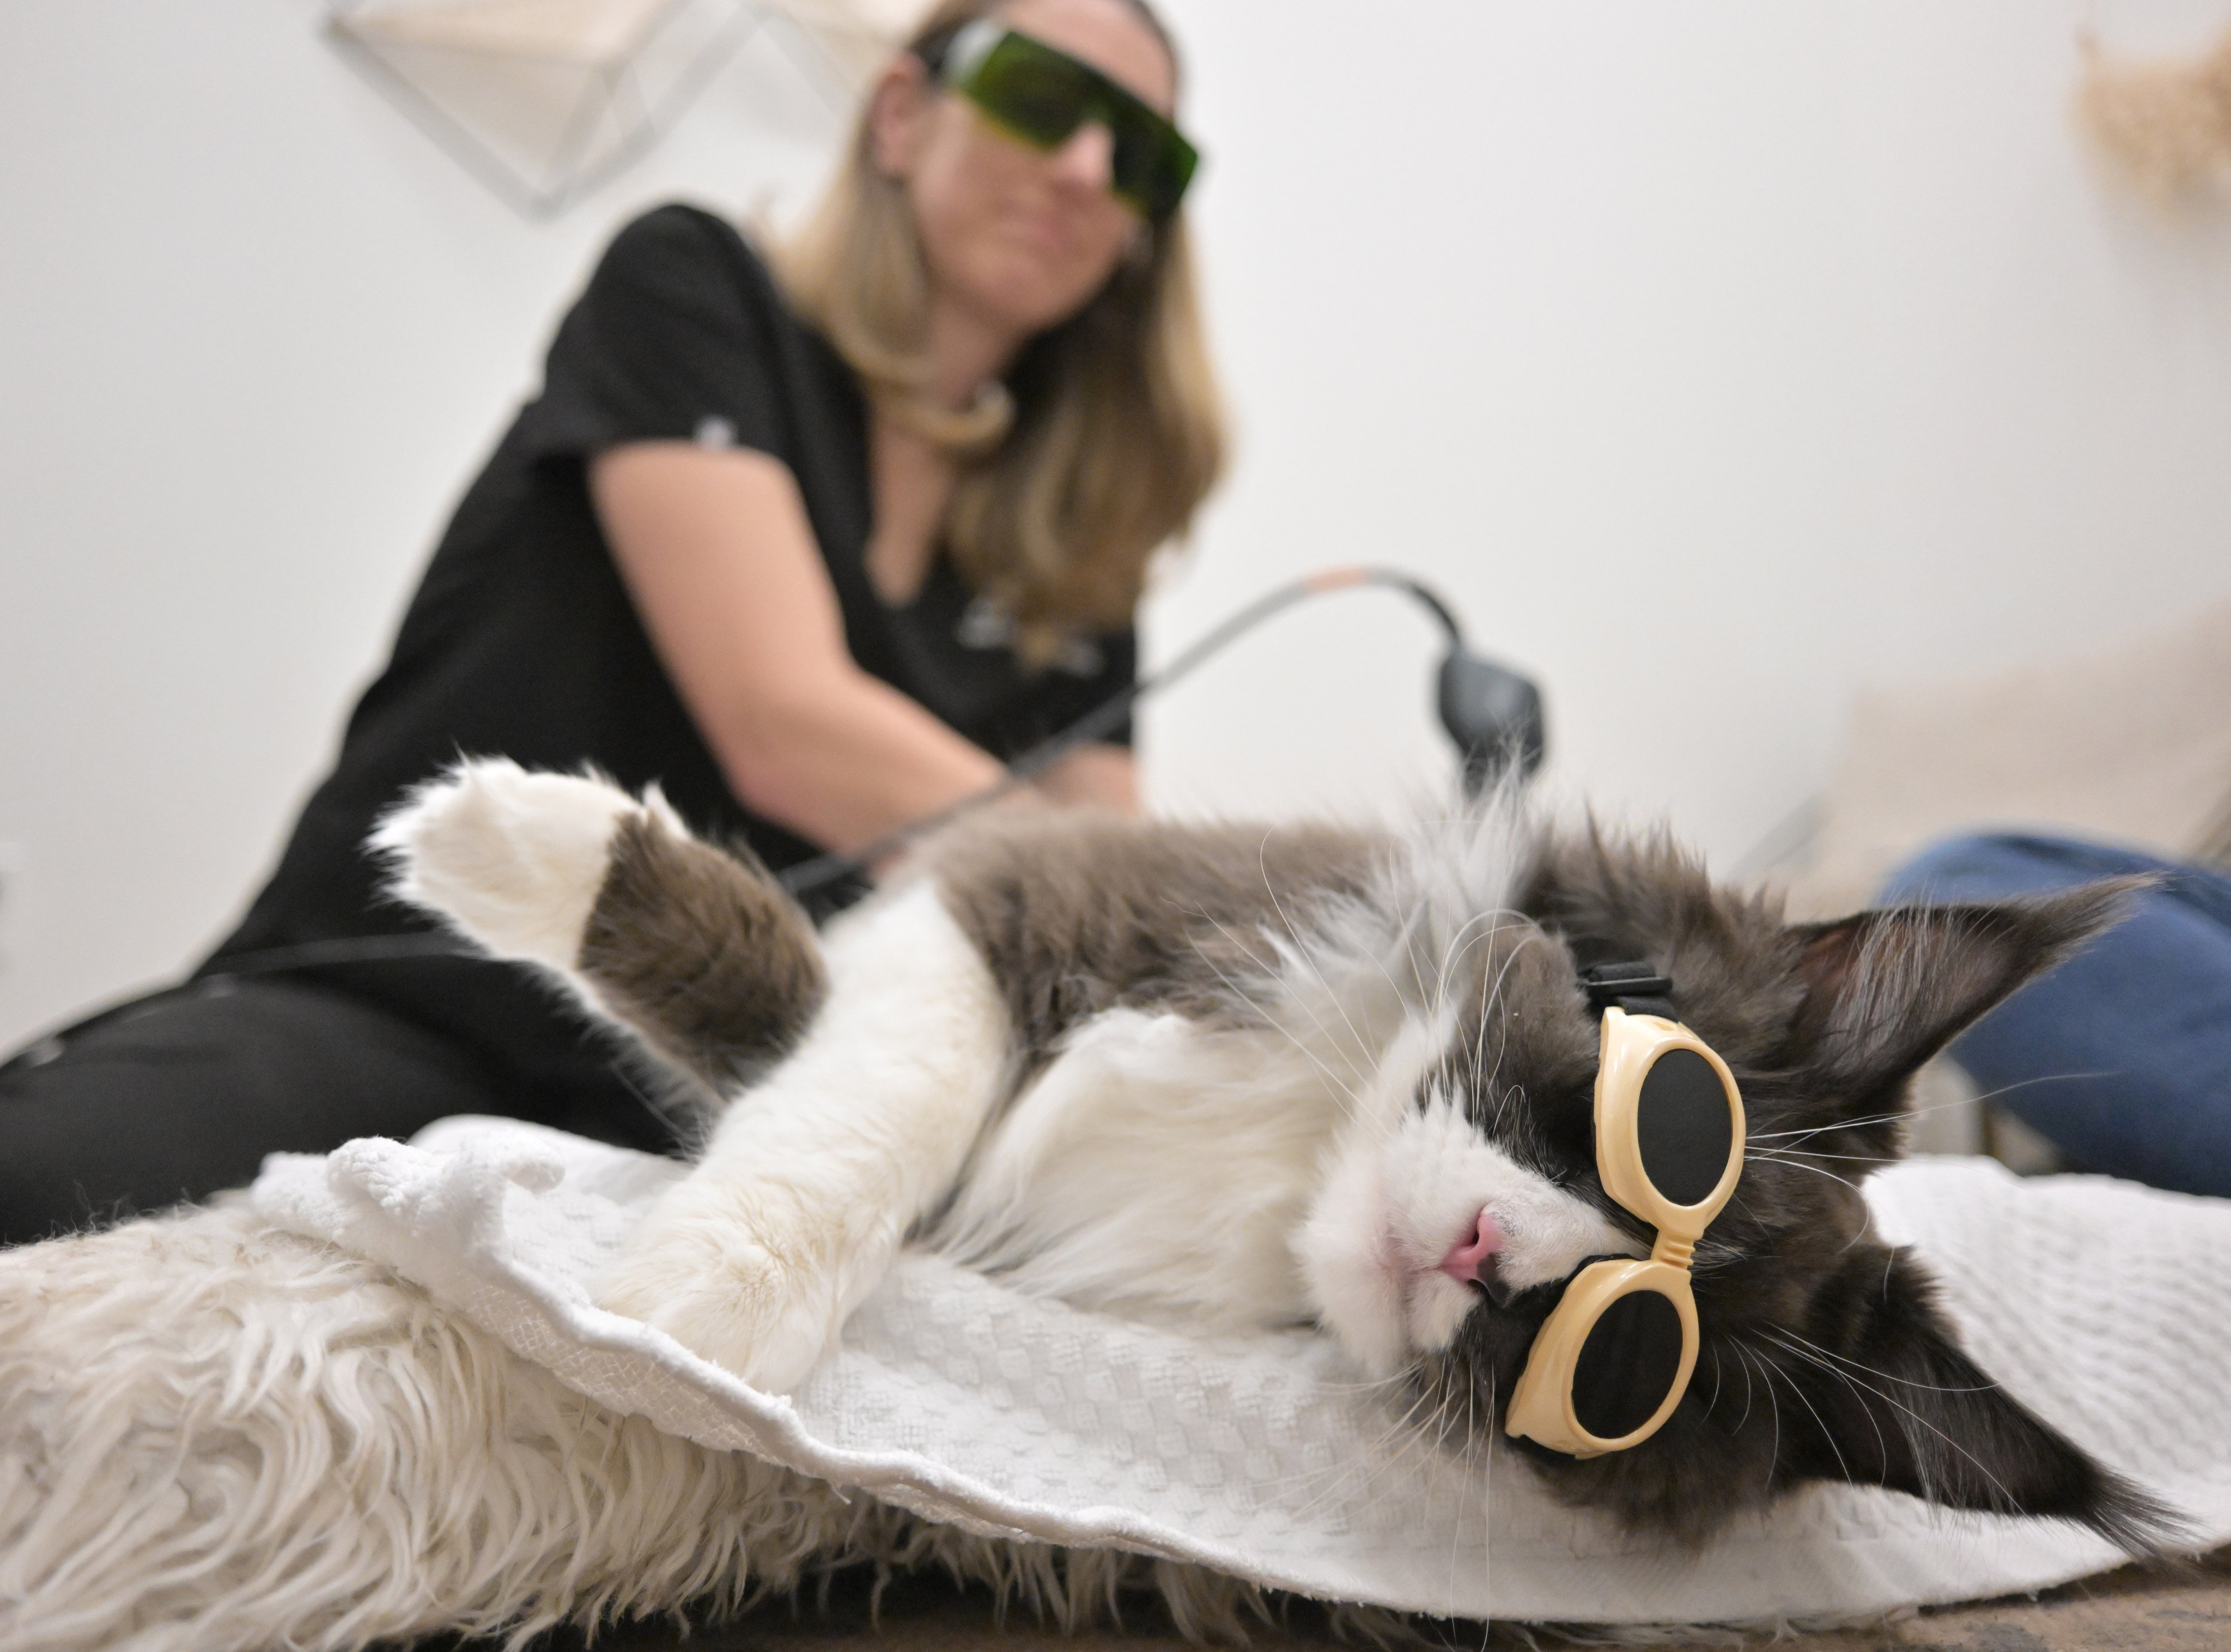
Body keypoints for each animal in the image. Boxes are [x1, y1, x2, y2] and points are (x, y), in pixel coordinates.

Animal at [379, 759, 2177, 1545]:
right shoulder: (1024, 893)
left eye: (1629, 1372)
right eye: (1670, 1117)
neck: (1295, 1152)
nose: (1485, 1254)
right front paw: (693, 1307)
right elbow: (861, 1088)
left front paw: (680, 1317)